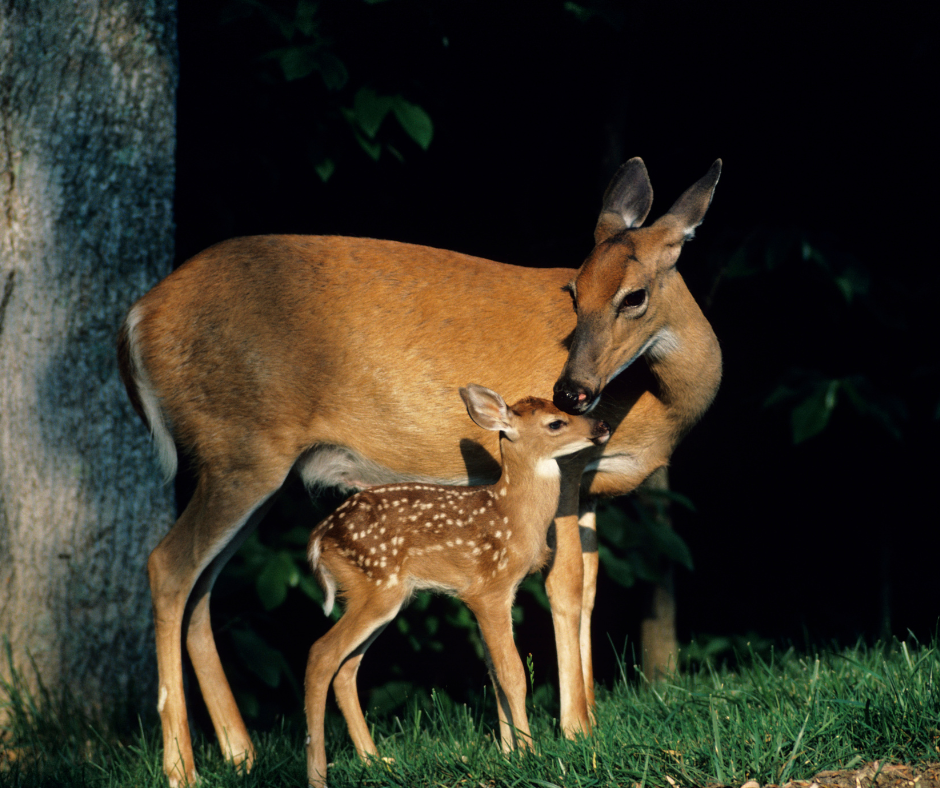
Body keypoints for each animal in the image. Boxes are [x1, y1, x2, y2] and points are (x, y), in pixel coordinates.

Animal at [304, 384, 611, 786]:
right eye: (556, 423)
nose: (602, 426)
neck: (514, 516)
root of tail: (319, 538)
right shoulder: (487, 589)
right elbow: (512, 673)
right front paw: (530, 753)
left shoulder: (495, 594)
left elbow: (495, 674)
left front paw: (510, 753)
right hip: (376, 585)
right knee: (321, 654)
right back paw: (317, 775)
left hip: (383, 595)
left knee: (346, 668)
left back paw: (376, 761)